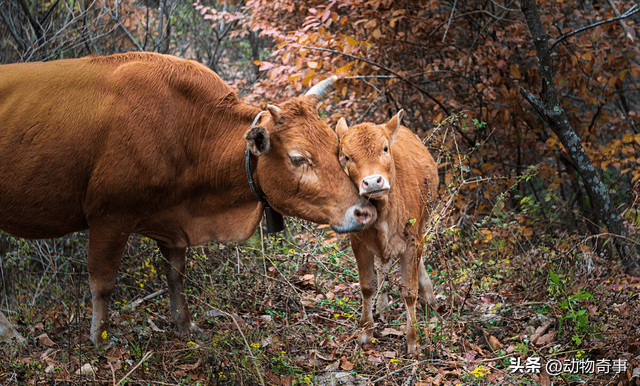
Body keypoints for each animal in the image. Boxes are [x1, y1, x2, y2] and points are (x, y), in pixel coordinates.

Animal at [0, 52, 376, 346]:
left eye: (336, 147)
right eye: (298, 158)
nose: (364, 212)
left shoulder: (173, 221)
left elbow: (175, 274)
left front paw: (183, 325)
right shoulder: (109, 217)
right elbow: (103, 283)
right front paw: (100, 339)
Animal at [338, 110, 438, 358]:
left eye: (385, 148)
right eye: (346, 156)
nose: (373, 182)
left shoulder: (412, 240)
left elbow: (409, 291)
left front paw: (413, 343)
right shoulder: (357, 241)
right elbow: (367, 286)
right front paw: (365, 331)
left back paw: (429, 297)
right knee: (383, 266)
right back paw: (382, 306)